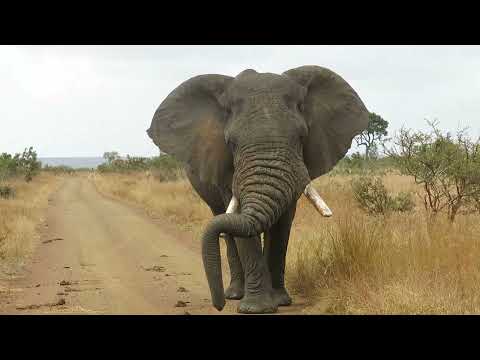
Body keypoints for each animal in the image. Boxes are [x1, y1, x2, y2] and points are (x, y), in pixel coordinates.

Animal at [148, 66, 370, 314]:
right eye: (231, 143)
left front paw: (280, 301)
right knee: (223, 221)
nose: (218, 305)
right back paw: (235, 294)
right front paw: (256, 308)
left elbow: (283, 224)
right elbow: (240, 220)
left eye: (301, 137)